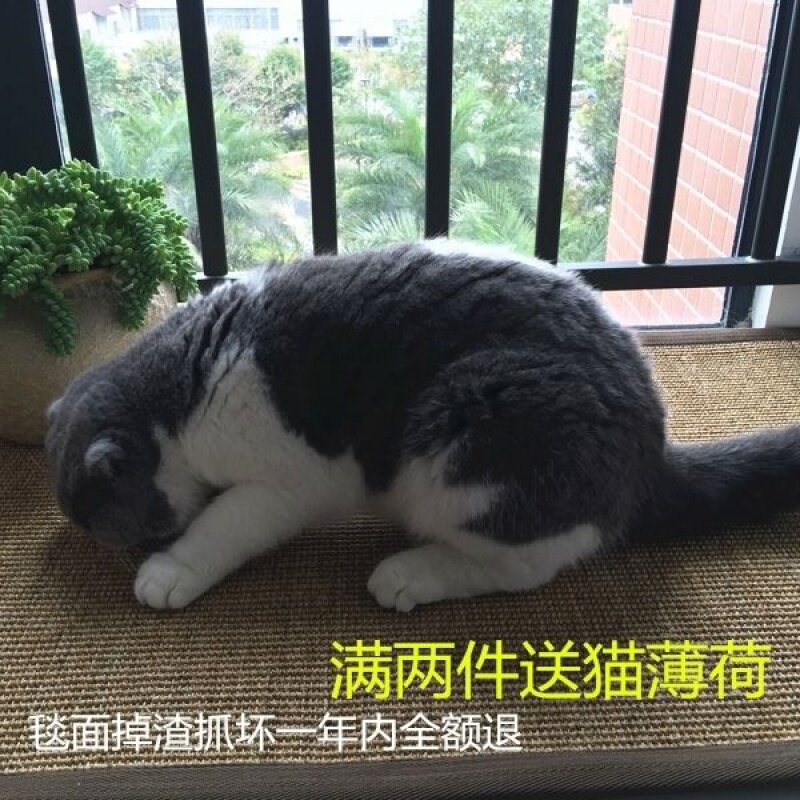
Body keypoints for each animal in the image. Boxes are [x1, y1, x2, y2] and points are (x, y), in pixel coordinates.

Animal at [45, 240, 800, 611]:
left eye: (124, 530)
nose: (131, 546)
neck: (181, 384)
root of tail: (653, 449)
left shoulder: (288, 483)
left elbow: (222, 525)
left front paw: (171, 568)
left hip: (467, 429)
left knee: (528, 563)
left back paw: (410, 575)